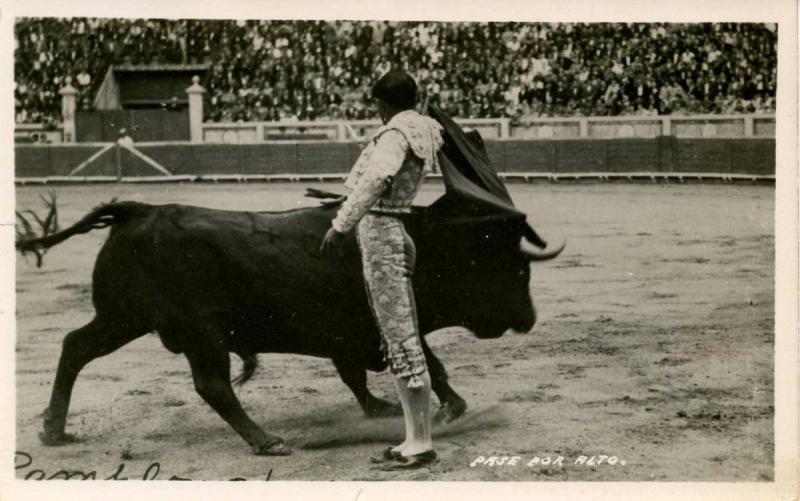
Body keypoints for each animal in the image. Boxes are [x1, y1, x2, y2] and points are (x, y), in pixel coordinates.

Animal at [14, 189, 564, 456]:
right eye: (514, 268)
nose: (530, 318)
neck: (428, 246)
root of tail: (140, 210)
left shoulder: (351, 337)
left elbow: (355, 375)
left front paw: (380, 407)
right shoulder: (387, 325)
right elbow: (430, 365)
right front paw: (451, 408)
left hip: (121, 317)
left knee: (74, 346)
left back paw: (54, 430)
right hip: (199, 333)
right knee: (214, 385)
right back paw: (266, 441)